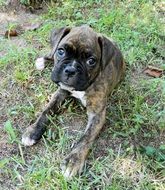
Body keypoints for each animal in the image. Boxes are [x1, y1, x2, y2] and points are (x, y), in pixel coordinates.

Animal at [21, 24, 125, 178]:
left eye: (91, 61)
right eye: (61, 51)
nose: (70, 70)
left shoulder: (97, 115)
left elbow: (86, 137)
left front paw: (73, 160)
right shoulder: (60, 92)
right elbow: (46, 111)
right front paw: (33, 130)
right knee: (49, 53)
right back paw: (42, 61)